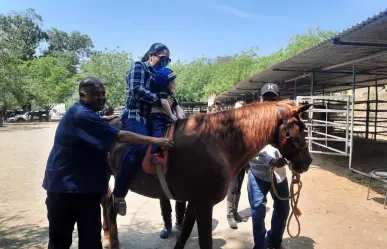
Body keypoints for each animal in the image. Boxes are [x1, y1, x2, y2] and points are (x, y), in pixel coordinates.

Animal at [102, 99, 312, 249]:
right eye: (301, 128)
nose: (307, 162)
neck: (216, 143)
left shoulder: (194, 201)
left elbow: (184, 233)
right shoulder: (204, 204)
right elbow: (204, 242)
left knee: (108, 205)